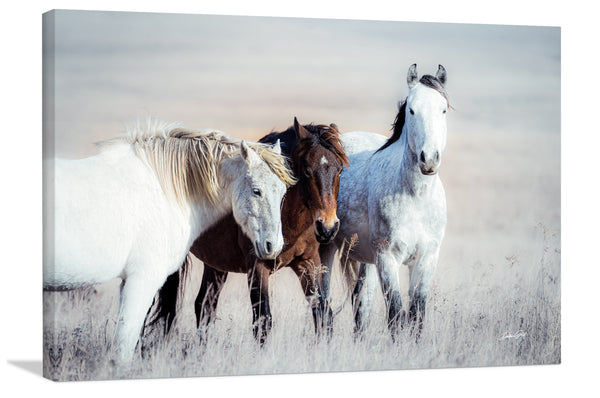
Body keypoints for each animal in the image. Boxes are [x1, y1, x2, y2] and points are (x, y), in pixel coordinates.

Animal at [42, 120, 296, 360]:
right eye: (256, 191)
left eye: (283, 193)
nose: (273, 246)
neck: (163, 190)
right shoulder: (142, 279)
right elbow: (125, 347)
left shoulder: (128, 282)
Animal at [147, 117, 350, 342]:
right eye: (306, 170)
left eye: (340, 170)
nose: (327, 227)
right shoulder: (257, 266)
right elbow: (263, 321)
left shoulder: (308, 262)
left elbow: (323, 313)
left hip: (216, 263)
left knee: (204, 306)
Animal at [322, 64, 448, 338]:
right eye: (411, 110)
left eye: (443, 109)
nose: (429, 159)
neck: (416, 198)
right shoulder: (388, 257)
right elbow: (396, 315)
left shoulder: (427, 258)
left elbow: (416, 315)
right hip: (328, 249)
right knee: (322, 302)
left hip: (367, 261)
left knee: (361, 302)